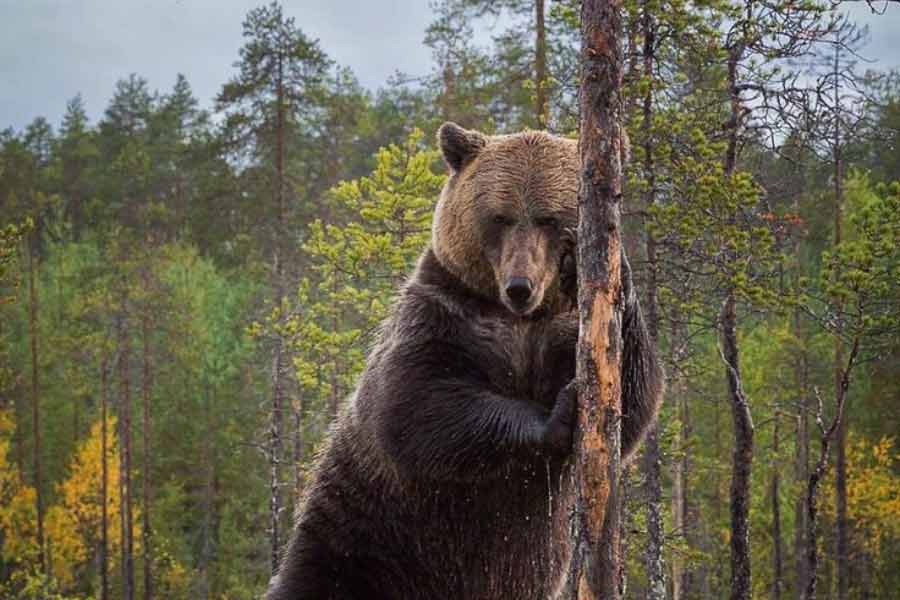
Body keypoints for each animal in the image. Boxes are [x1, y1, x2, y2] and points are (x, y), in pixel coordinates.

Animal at [265, 122, 663, 600]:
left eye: (549, 218)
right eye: (500, 216)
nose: (519, 286)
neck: (523, 321)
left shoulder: (565, 331)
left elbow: (635, 393)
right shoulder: (445, 316)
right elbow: (418, 404)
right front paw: (560, 413)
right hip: (359, 537)